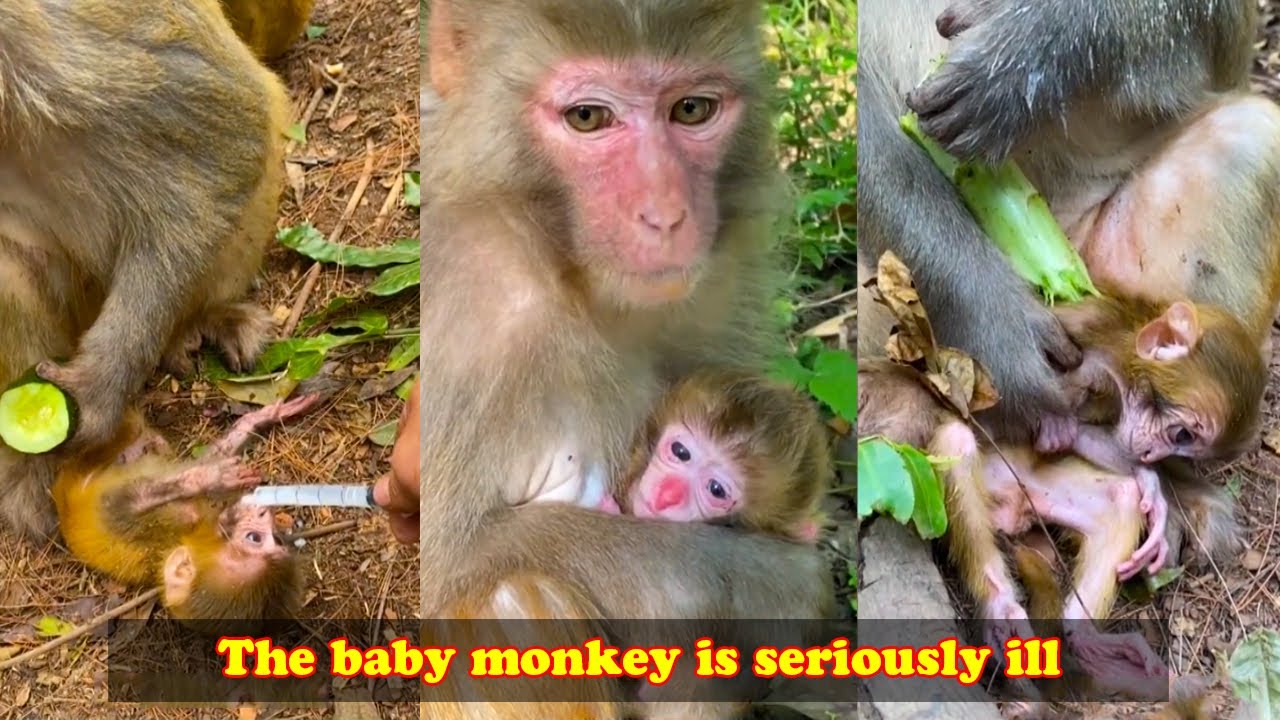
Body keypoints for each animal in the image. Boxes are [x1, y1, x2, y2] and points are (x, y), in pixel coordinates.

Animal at [51, 394, 322, 627]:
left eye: (268, 537)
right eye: (256, 538)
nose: (265, 513)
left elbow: (120, 503)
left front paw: (206, 476)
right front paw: (260, 418)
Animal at [422, 0, 833, 717]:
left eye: (692, 109)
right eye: (588, 117)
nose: (666, 215)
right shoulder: (470, 322)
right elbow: (452, 566)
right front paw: (778, 580)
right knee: (512, 598)